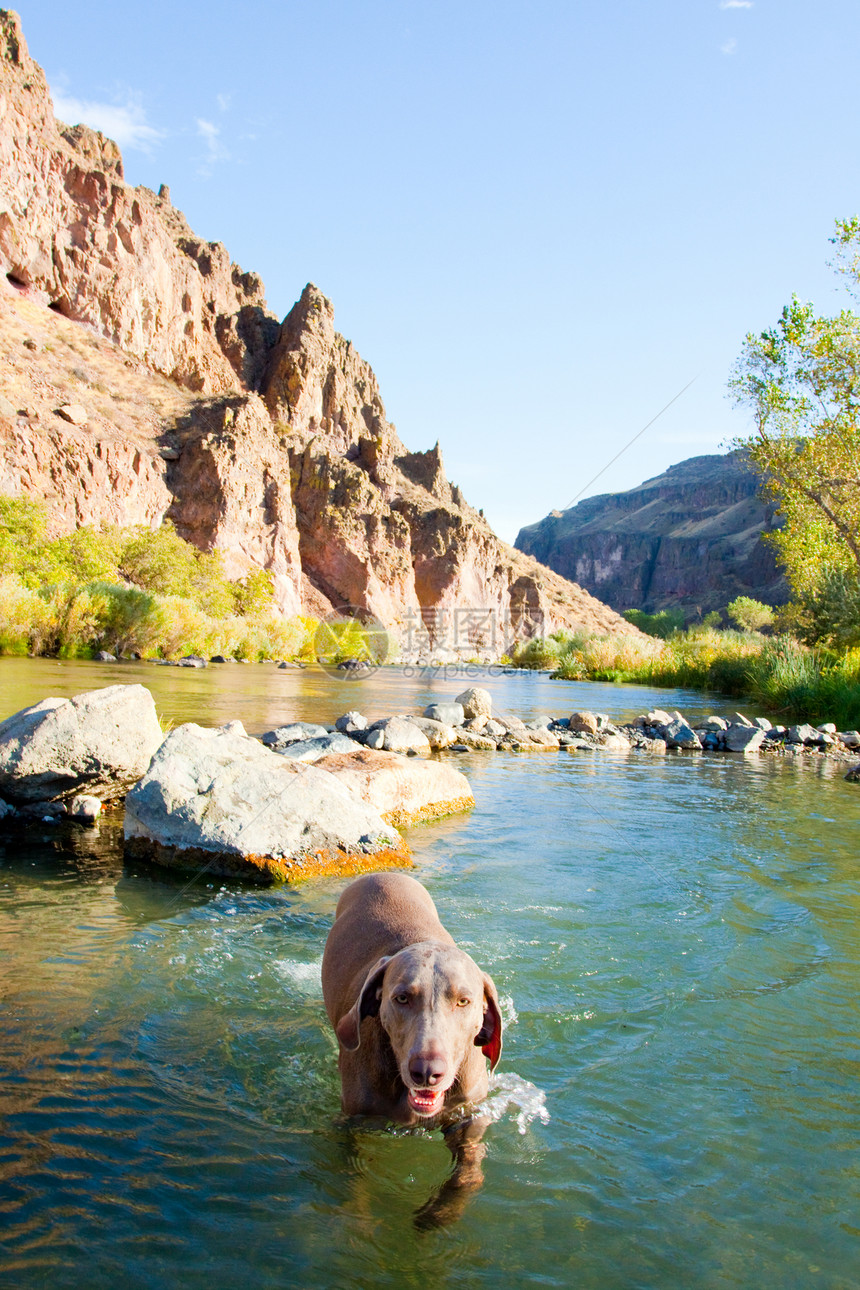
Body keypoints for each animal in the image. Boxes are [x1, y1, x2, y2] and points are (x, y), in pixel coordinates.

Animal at [321, 872, 497, 1222]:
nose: (426, 1072)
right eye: (402, 998)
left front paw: (436, 1215)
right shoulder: (352, 1122)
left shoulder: (469, 1115)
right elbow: (355, 1176)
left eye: (463, 1001)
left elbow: (468, 1176)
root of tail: (382, 873)